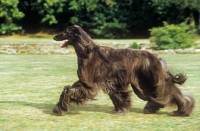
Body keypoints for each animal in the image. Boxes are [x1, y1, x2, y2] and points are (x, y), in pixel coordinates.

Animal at [52, 25, 195, 116]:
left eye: (65, 32)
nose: (54, 37)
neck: (87, 52)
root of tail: (158, 57)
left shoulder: (89, 83)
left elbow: (68, 90)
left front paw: (59, 109)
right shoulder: (112, 82)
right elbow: (119, 96)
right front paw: (120, 110)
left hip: (151, 81)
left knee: (170, 93)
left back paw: (181, 111)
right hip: (142, 85)